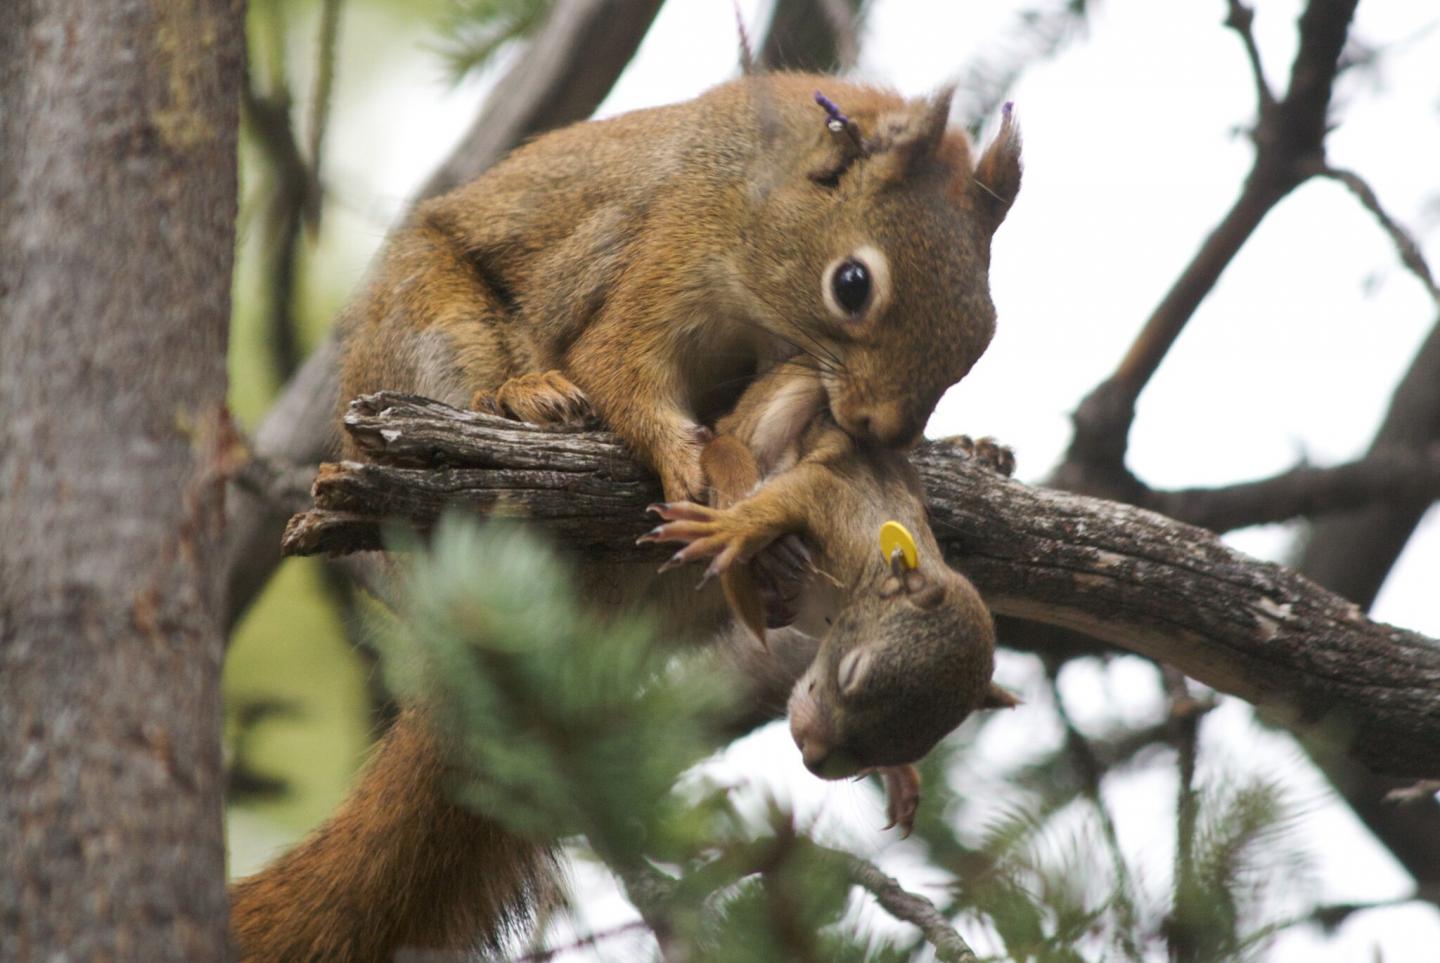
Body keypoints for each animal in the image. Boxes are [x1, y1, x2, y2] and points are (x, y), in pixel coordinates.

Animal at [336, 71, 1021, 502]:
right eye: (851, 285)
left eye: (987, 332)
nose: (884, 431)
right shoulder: (670, 253)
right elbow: (614, 364)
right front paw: (683, 459)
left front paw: (960, 445)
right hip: (430, 324)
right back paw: (522, 395)